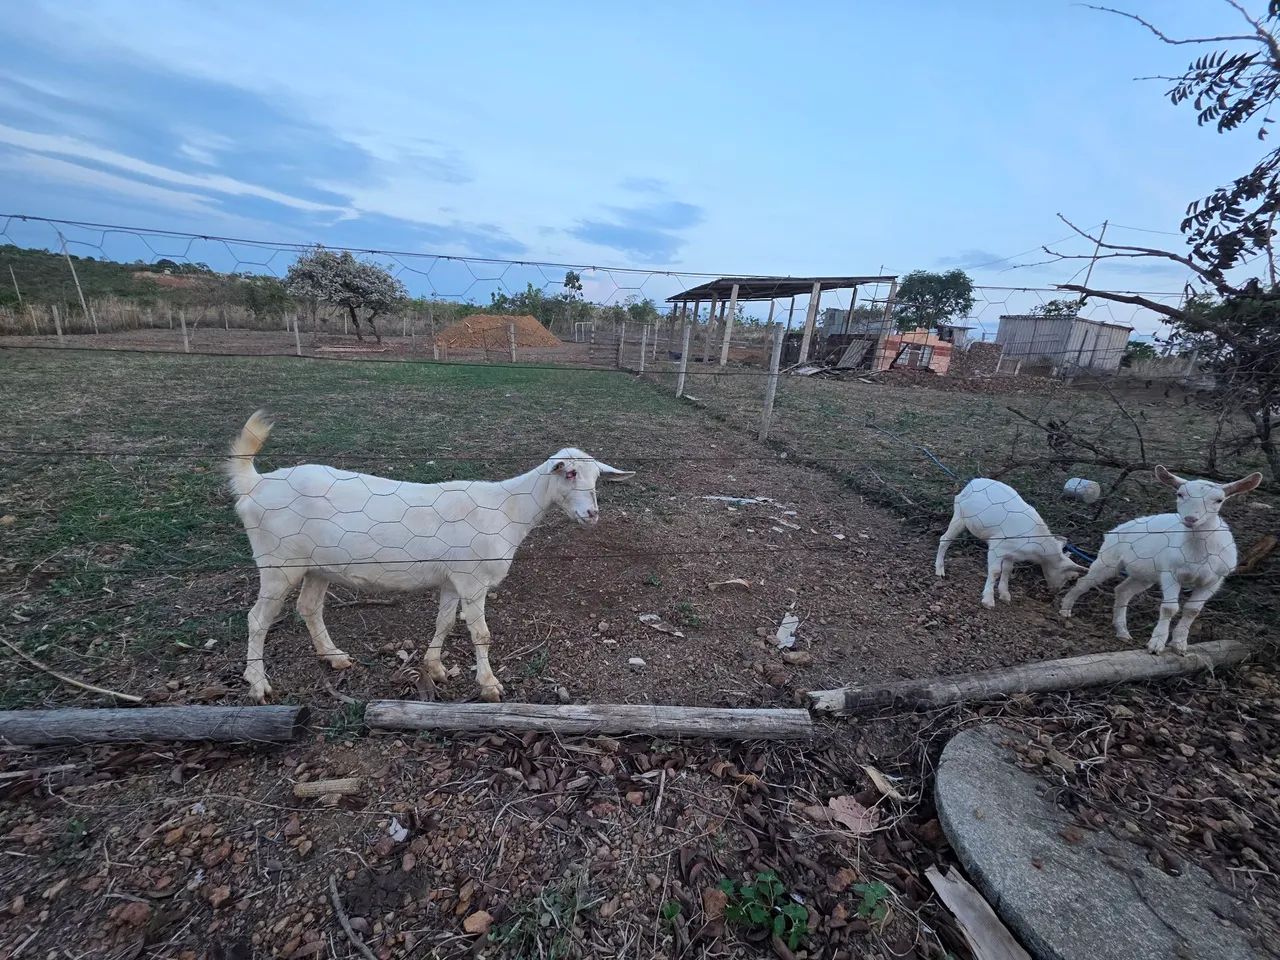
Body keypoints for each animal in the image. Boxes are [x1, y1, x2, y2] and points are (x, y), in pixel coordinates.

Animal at [225, 410, 634, 703]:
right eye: (569, 474)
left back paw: (334, 656)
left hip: (316, 566)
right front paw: (489, 685)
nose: (591, 514)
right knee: (257, 619)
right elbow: (481, 634)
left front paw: (434, 667)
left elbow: (445, 623)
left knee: (309, 607)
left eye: (597, 478)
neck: (507, 508)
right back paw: (257, 684)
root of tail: (255, 485)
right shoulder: (472, 579)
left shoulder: (453, 578)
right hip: (277, 563)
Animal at [936, 478, 1086, 608]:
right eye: (1070, 577)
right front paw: (988, 599)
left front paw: (1004, 594)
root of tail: (972, 483)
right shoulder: (997, 547)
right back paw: (940, 570)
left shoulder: (1011, 553)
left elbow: (1008, 570)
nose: (1054, 591)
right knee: (944, 539)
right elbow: (995, 571)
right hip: (960, 515)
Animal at [1059, 465, 1262, 654]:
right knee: (1086, 581)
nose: (1190, 519)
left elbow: (1192, 610)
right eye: (1180, 494)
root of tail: (1115, 529)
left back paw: (1122, 631)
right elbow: (1169, 608)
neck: (1198, 553)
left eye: (1219, 500)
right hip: (1108, 558)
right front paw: (1156, 644)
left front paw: (1180, 645)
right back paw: (1065, 609)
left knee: (1122, 590)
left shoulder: (1215, 580)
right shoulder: (1170, 572)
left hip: (1144, 575)